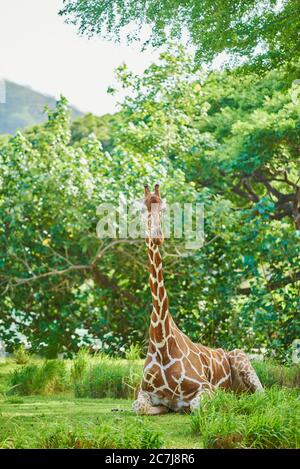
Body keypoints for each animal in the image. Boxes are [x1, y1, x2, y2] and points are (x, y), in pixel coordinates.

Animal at [132, 183, 264, 414]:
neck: (161, 341)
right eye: (142, 210)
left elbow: (195, 405)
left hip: (241, 357)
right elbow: (139, 407)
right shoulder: (144, 391)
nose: (157, 237)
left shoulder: (205, 386)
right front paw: (163, 408)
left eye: (164, 209)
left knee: (263, 395)